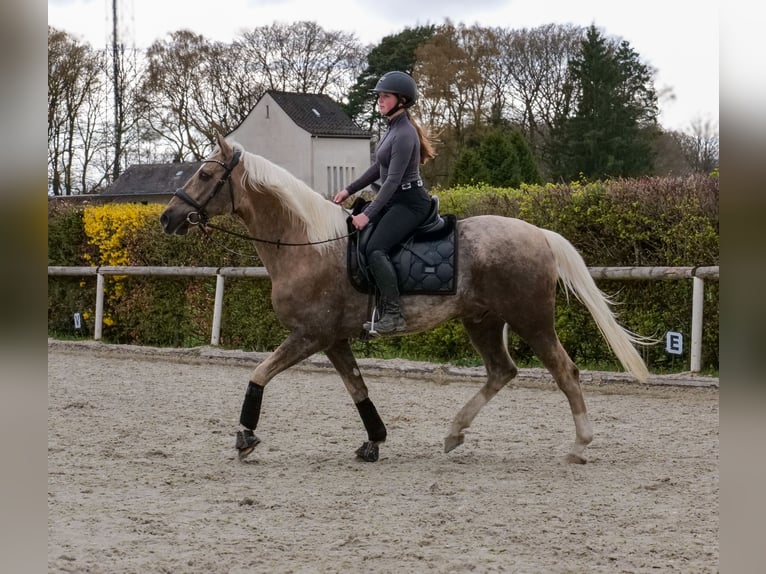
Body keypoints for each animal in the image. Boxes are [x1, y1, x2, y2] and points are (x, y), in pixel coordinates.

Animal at [160, 133, 650, 464]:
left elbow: (259, 374)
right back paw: (454, 433)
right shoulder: (333, 339)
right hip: (482, 320)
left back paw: (579, 446)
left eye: (206, 174)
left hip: (532, 319)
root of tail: (539, 234)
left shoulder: (309, 335)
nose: (168, 218)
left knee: (565, 372)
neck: (307, 244)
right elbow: (358, 388)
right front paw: (373, 440)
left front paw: (245, 437)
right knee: (501, 371)